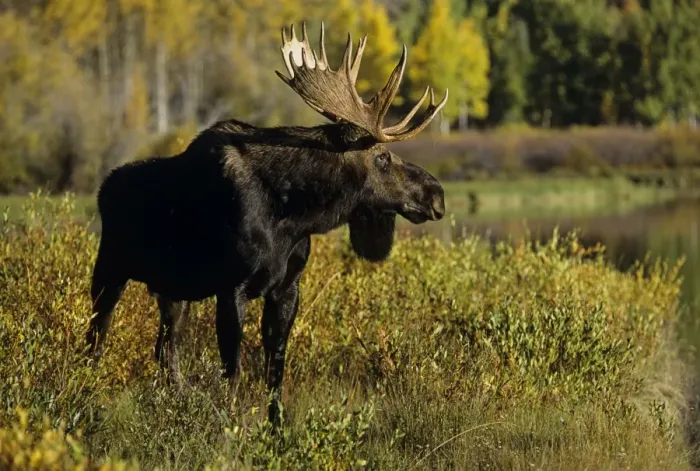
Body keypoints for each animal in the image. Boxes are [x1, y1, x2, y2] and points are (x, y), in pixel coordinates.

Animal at [86, 22, 448, 426]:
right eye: (382, 157)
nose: (436, 194)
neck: (294, 218)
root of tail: (104, 188)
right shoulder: (232, 287)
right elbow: (233, 371)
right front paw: (231, 425)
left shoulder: (287, 288)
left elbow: (276, 370)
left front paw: (277, 428)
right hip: (109, 270)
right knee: (96, 339)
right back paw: (85, 397)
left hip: (173, 291)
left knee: (165, 351)